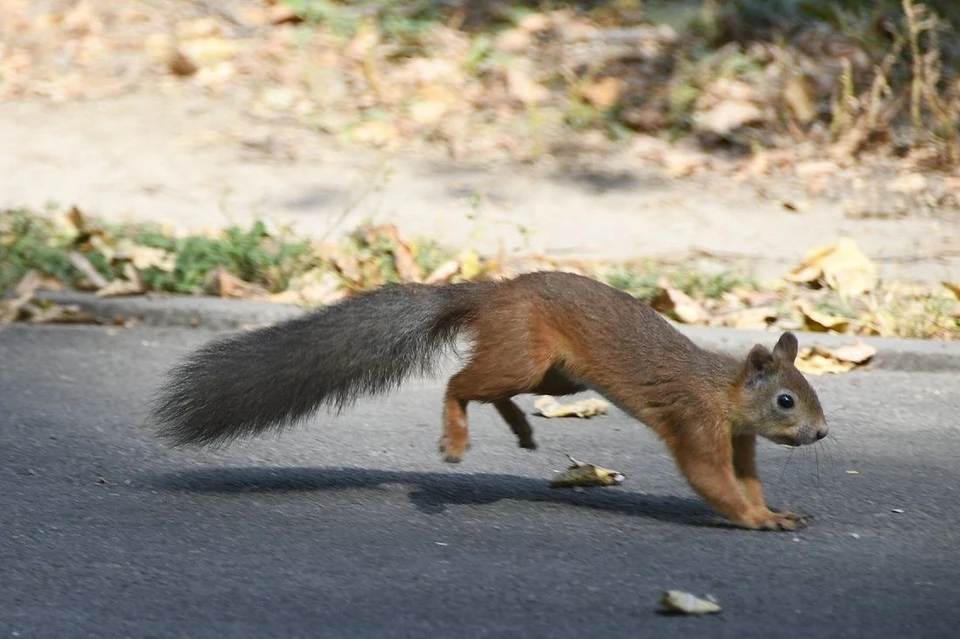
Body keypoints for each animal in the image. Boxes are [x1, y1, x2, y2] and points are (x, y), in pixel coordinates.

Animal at [154, 272, 828, 532]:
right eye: (786, 400)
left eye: (810, 396)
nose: (822, 435)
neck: (723, 389)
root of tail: (488, 293)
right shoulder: (694, 422)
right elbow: (712, 480)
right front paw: (757, 520)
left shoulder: (738, 438)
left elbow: (745, 479)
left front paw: (775, 510)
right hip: (529, 352)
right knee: (459, 383)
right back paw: (456, 437)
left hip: (557, 377)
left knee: (493, 388)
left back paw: (519, 429)